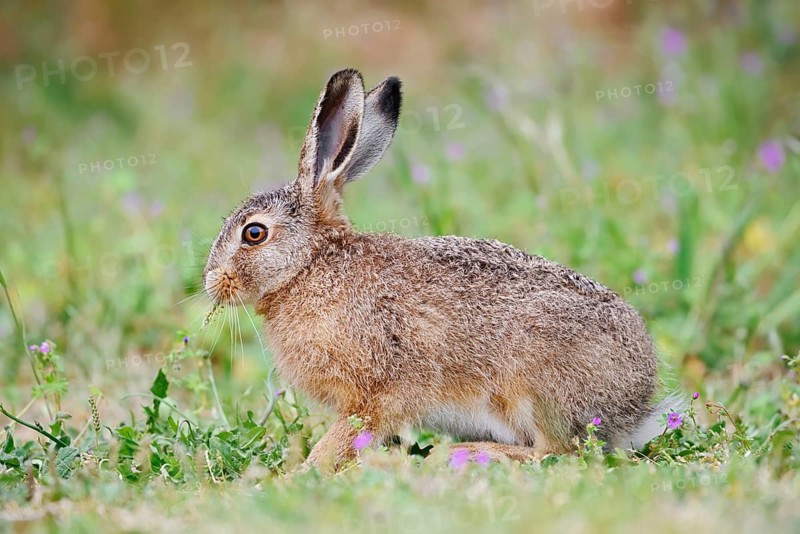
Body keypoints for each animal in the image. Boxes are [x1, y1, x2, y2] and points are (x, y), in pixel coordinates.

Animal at [203, 68, 676, 469]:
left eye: (254, 233)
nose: (212, 283)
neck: (309, 267)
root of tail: (634, 410)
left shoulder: (375, 395)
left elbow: (344, 438)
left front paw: (304, 472)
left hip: (536, 388)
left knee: (557, 451)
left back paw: (468, 453)